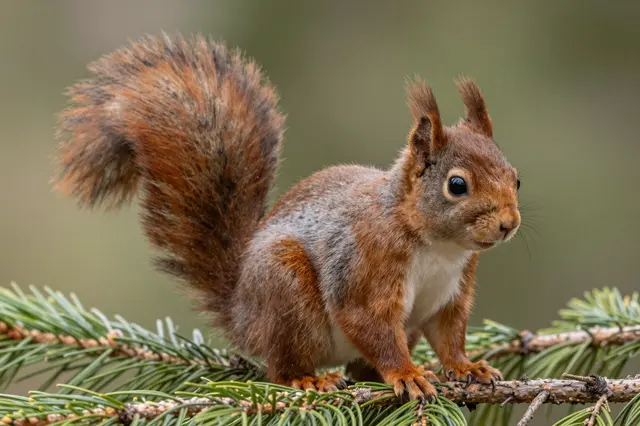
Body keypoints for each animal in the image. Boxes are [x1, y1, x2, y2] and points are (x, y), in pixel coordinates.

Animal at [54, 33, 521, 400]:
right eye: (457, 185)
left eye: (516, 177)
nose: (508, 224)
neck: (437, 247)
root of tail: (242, 312)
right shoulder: (364, 268)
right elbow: (369, 323)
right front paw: (406, 373)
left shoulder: (452, 292)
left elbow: (449, 335)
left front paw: (466, 367)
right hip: (286, 291)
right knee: (280, 369)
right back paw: (311, 380)